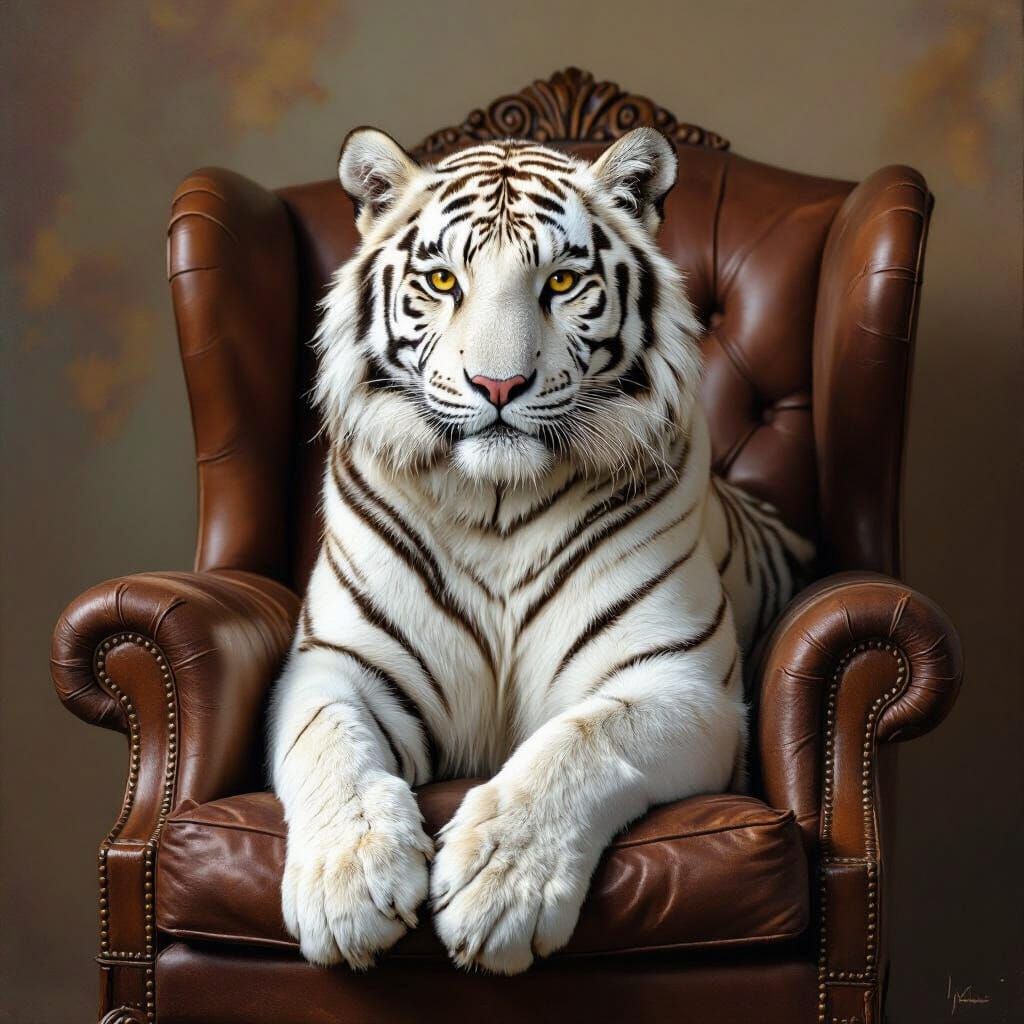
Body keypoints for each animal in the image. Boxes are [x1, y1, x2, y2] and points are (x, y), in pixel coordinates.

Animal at [269, 126, 813, 975]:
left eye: (560, 280)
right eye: (441, 279)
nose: (498, 386)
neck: (496, 507)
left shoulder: (682, 682)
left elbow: (581, 742)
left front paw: (500, 886)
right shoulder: (338, 664)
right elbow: (328, 743)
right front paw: (347, 883)